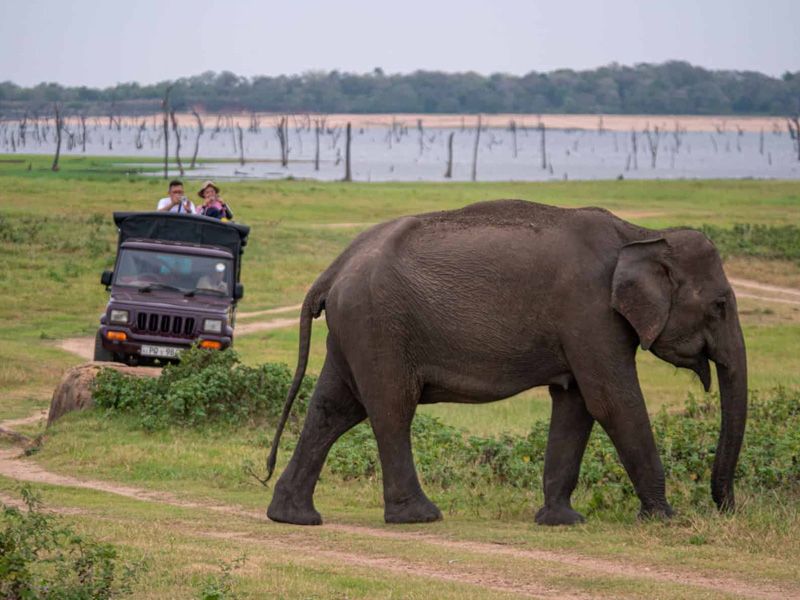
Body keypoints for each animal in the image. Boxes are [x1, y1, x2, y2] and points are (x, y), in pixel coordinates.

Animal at [266, 200, 748, 524]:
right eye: (721, 305)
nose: (725, 508)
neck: (641, 233)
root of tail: (334, 268)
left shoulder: (584, 326)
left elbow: (576, 403)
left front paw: (561, 521)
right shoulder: (590, 313)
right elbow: (613, 401)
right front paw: (665, 518)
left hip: (355, 326)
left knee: (334, 408)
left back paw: (293, 516)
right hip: (378, 323)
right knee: (390, 408)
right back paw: (420, 515)